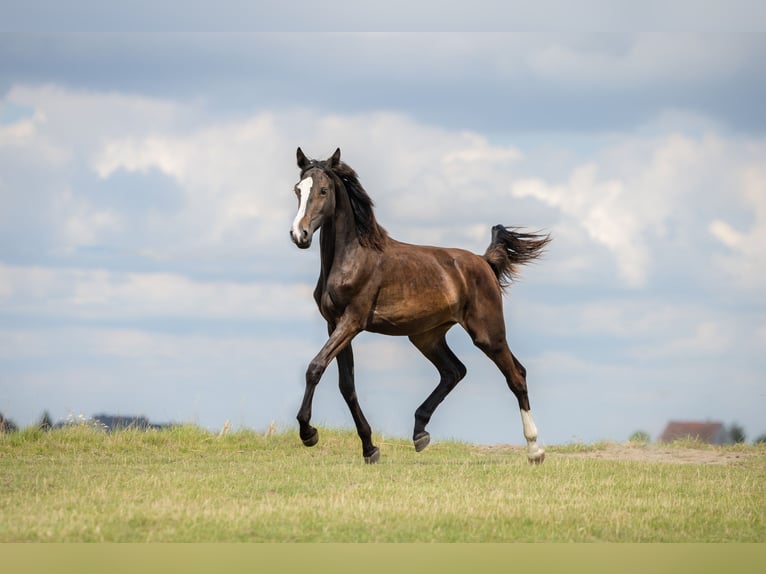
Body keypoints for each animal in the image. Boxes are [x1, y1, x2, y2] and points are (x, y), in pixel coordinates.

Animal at [290, 150, 552, 468]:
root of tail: (483, 261)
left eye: (324, 190)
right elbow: (346, 386)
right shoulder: (335, 324)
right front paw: (369, 448)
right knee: (454, 371)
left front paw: (308, 433)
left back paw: (535, 450)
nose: (299, 234)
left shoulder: (352, 322)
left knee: (516, 375)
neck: (352, 258)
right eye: (298, 190)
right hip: (426, 336)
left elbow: (315, 368)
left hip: (488, 334)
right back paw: (419, 433)